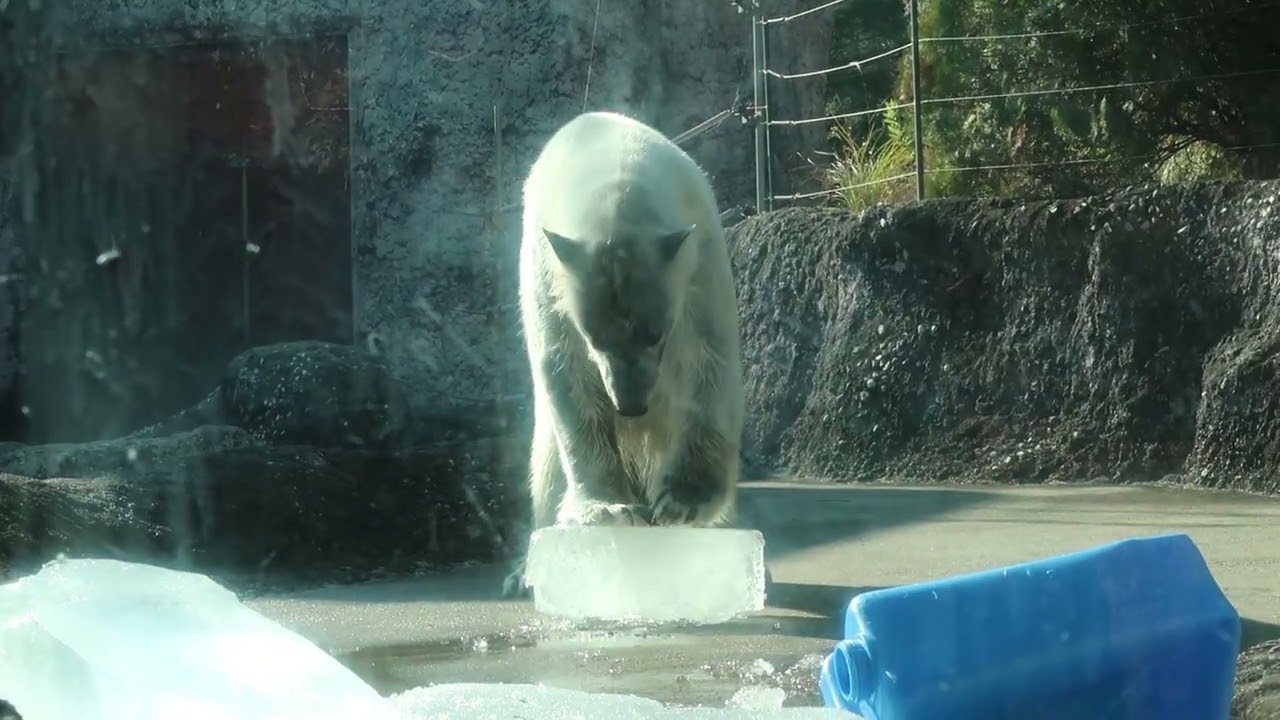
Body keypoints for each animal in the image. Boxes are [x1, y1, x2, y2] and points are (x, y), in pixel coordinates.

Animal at [502, 111, 746, 598]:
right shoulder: (544, 270)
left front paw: (681, 502)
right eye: (595, 338)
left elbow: (709, 364)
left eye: (655, 333)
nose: (630, 405)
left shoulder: (701, 261)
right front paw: (610, 508)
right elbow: (565, 373)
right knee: (546, 462)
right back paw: (525, 571)